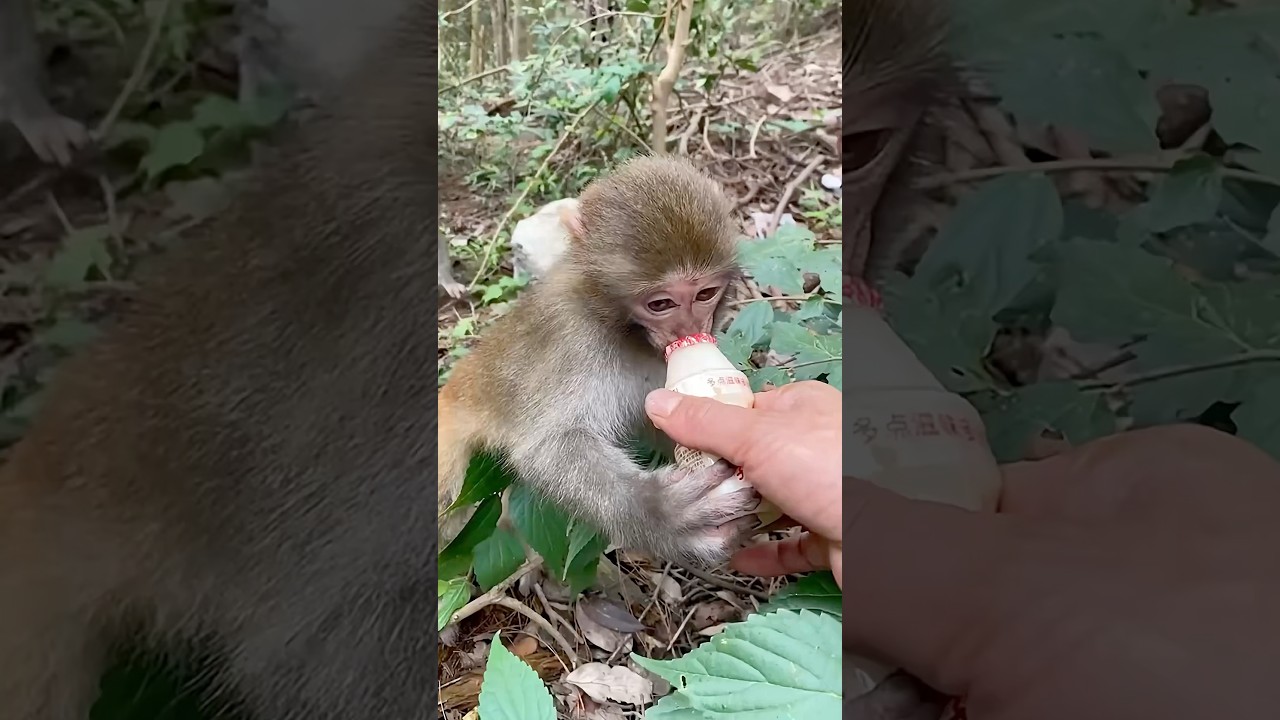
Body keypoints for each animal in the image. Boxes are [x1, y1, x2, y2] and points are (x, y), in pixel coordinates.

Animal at [436, 155, 763, 567]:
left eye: (705, 294)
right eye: (661, 304)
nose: (689, 329)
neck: (622, 331)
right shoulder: (573, 340)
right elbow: (549, 446)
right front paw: (656, 512)